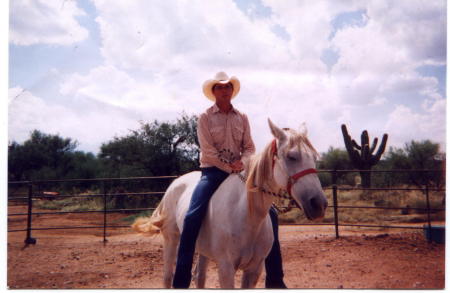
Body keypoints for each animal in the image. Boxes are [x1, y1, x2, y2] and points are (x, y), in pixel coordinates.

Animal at [133, 118, 326, 288]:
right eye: (291, 157)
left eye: (314, 158)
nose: (319, 204)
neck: (246, 214)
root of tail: (174, 184)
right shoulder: (226, 268)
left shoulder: (254, 270)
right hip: (171, 240)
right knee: (168, 277)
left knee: (200, 277)